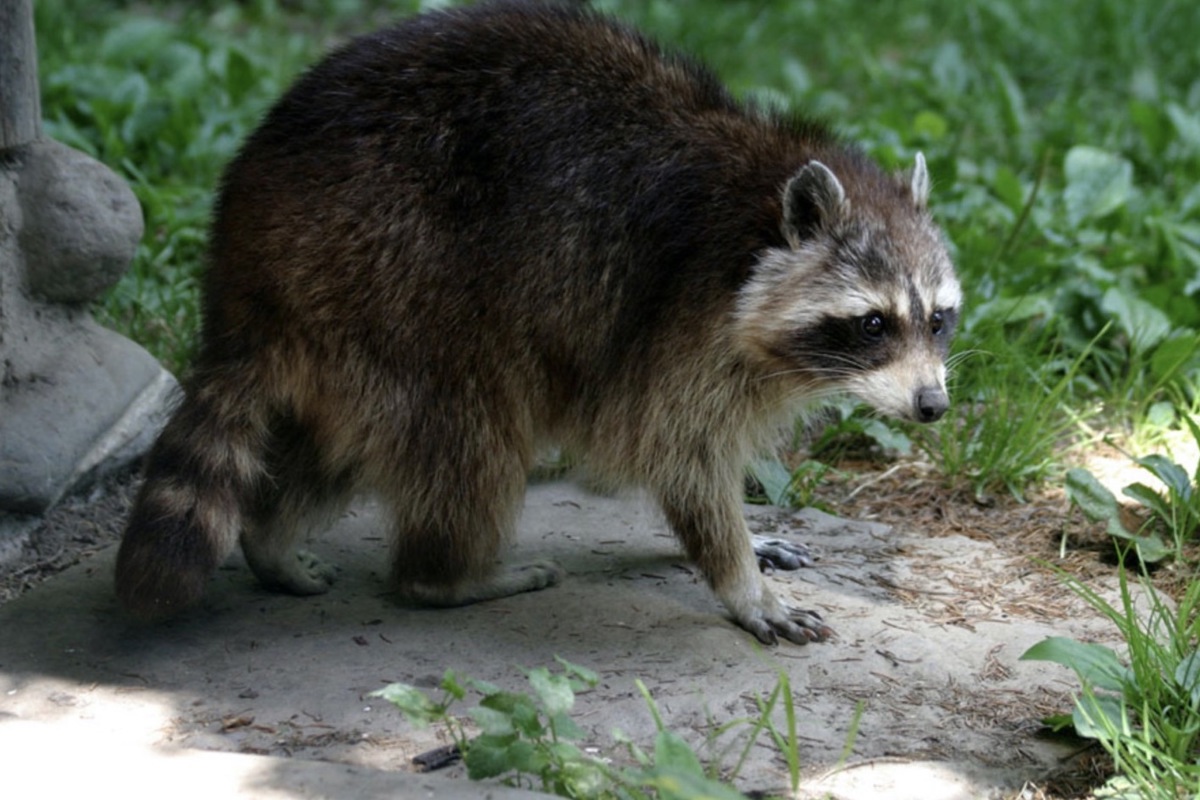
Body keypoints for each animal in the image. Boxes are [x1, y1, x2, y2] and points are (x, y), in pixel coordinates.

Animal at [112, 0, 960, 642]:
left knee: (340, 444)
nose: (934, 407)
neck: (757, 208)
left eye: (940, 320)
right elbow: (676, 452)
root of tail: (241, 248)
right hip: (391, 272)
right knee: (471, 436)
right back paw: (444, 576)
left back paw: (272, 540)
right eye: (874, 324)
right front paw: (737, 574)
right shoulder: (678, 318)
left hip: (341, 325)